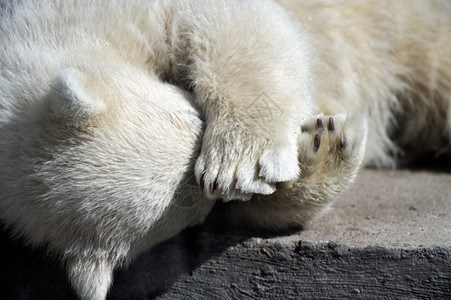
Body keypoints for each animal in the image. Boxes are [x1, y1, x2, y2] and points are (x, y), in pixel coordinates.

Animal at [0, 0, 450, 300]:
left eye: (192, 116)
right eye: (197, 212)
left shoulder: (108, 15)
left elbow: (224, 20)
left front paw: (243, 161)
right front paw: (321, 149)